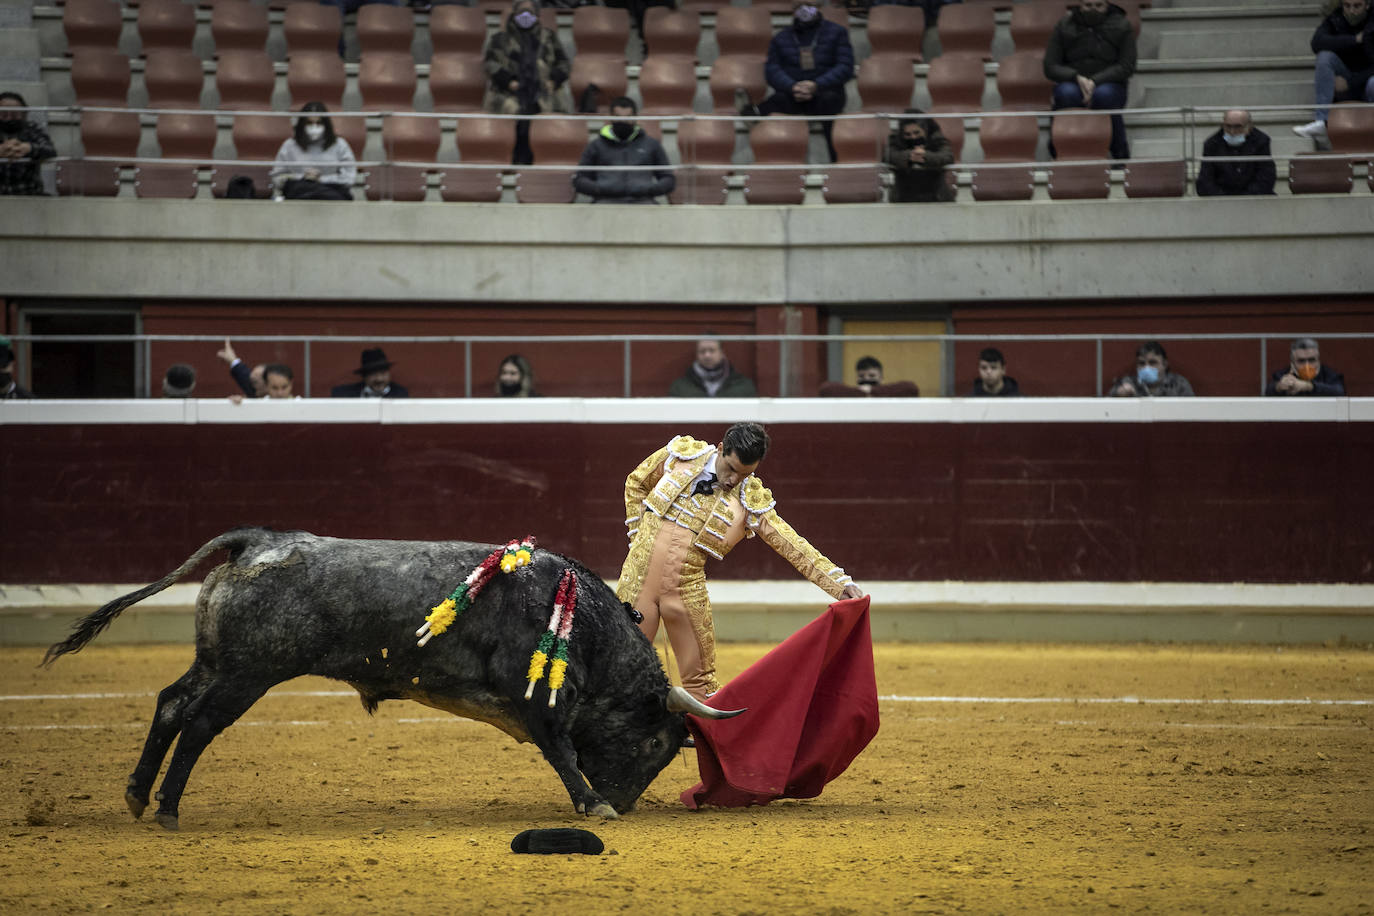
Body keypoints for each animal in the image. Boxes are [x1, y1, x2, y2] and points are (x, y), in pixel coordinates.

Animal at [40, 521, 741, 829]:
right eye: (656, 743)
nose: (627, 801)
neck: (582, 623)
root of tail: (256, 541)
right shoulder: (538, 703)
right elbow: (562, 752)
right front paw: (594, 804)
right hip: (248, 674)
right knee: (200, 722)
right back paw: (167, 809)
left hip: (215, 662)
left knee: (170, 703)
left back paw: (138, 795)